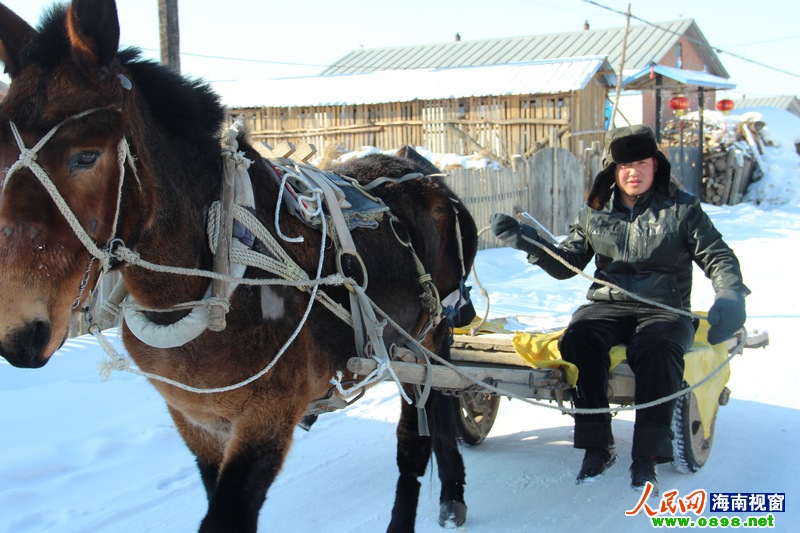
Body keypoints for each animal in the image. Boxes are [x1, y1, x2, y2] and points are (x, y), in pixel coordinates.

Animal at [0, 2, 478, 528]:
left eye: (86, 156)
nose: (19, 331)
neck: (211, 286)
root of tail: (426, 175)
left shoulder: (268, 415)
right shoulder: (197, 420)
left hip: (421, 344)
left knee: (416, 440)